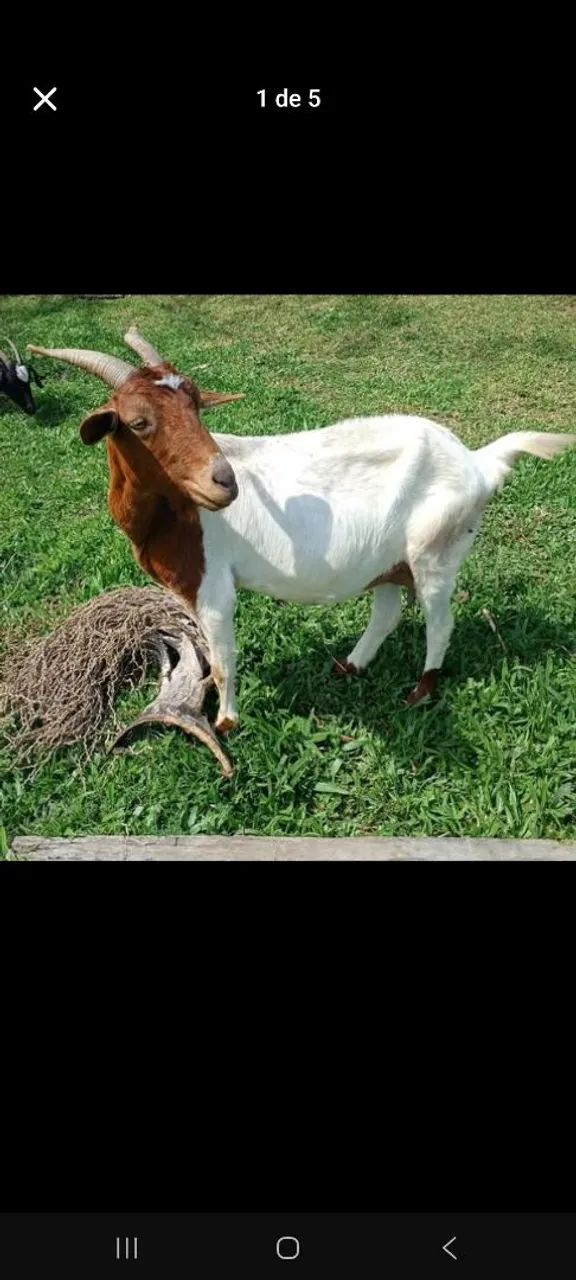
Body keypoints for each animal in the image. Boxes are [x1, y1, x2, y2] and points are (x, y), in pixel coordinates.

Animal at [28, 329, 576, 732]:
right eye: (139, 422)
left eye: (198, 406)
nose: (224, 480)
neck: (172, 513)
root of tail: (477, 462)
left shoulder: (214, 588)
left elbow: (223, 658)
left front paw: (227, 722)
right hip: (389, 559)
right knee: (387, 612)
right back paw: (350, 666)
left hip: (436, 550)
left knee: (440, 621)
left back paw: (420, 691)